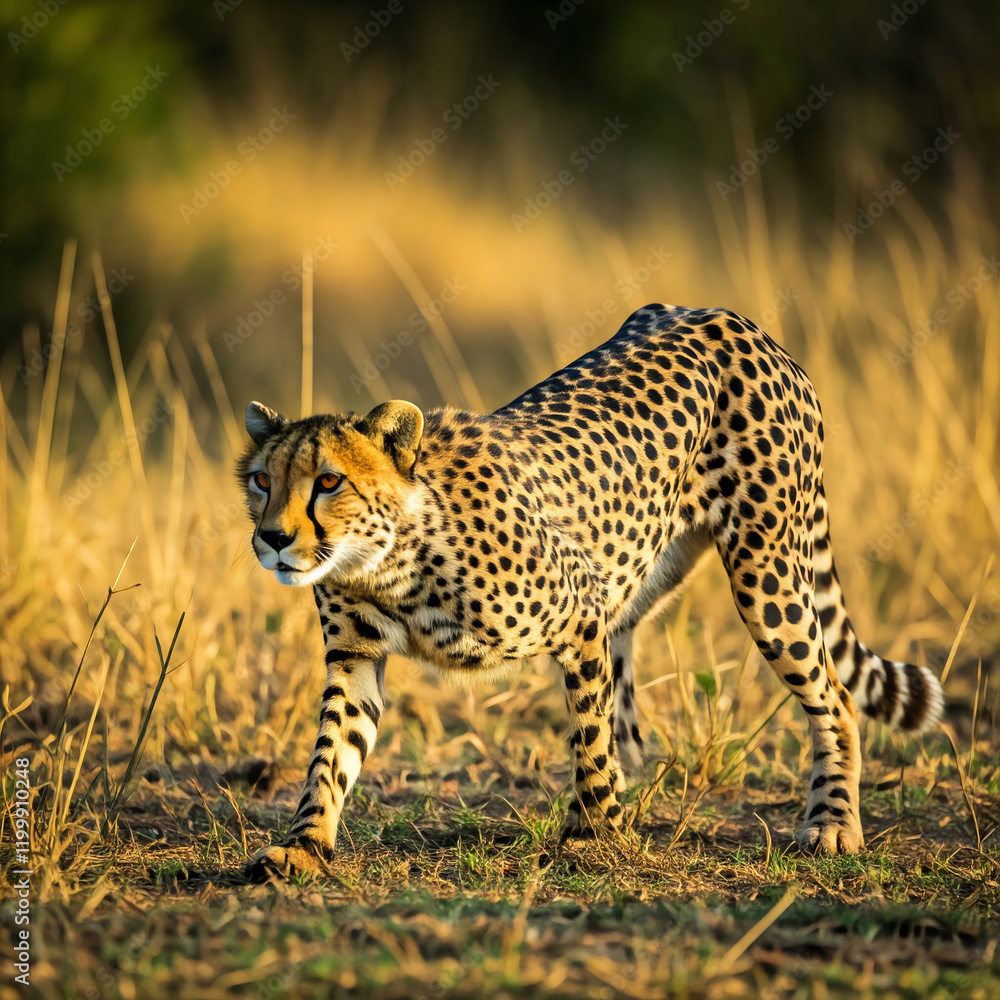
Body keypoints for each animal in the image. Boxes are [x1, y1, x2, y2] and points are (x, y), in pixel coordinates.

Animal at [237, 302, 943, 881]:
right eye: (261, 481)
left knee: (836, 696)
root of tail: (731, 318)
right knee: (632, 699)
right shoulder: (355, 656)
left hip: (765, 572)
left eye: (329, 481)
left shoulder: (580, 617)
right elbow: (332, 751)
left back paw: (832, 822)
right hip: (643, 576)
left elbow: (589, 736)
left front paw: (593, 838)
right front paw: (303, 847)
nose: (272, 538)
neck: (390, 560)